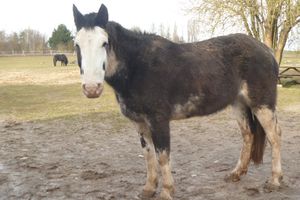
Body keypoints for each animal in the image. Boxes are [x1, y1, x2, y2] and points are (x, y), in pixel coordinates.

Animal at [72, 3, 282, 199]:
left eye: (104, 43)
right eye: (76, 45)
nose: (91, 88)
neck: (137, 67)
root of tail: (266, 50)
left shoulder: (158, 121)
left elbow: (162, 156)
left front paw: (166, 191)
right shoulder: (140, 123)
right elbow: (148, 156)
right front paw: (148, 189)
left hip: (262, 105)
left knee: (274, 136)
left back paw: (275, 181)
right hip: (239, 103)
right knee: (248, 135)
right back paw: (236, 174)